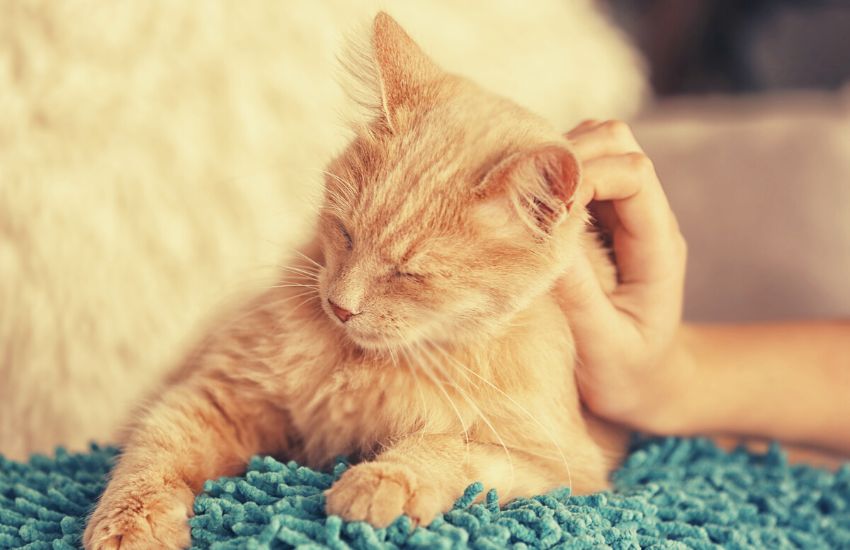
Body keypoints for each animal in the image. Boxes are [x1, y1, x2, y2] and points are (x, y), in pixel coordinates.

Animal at [83, 12, 620, 550]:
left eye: (410, 273)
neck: (367, 366)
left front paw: (385, 481)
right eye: (345, 232)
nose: (340, 307)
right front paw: (130, 523)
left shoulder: (556, 464)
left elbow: (451, 449)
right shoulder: (220, 396)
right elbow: (154, 452)